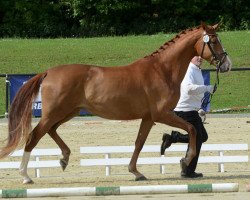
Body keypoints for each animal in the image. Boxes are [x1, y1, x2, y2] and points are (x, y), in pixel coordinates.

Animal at [0, 21, 231, 183]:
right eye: (214, 41)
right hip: (54, 113)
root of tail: (49, 72)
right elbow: (191, 129)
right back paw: (26, 176)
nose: (227, 64)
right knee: (34, 136)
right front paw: (185, 159)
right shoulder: (162, 114)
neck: (162, 70)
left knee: (51, 131)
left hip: (68, 112)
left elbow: (139, 143)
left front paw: (136, 172)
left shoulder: (148, 118)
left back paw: (64, 158)